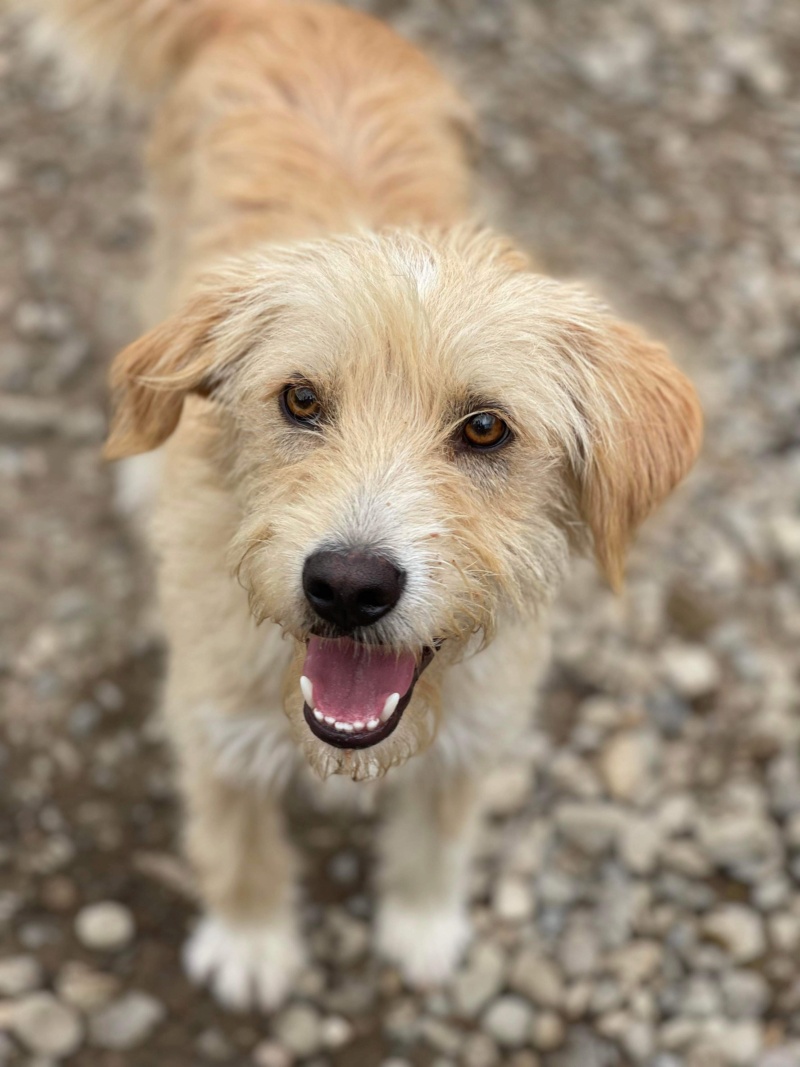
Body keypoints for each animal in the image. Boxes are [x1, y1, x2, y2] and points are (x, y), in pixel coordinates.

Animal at [21, 0, 704, 1007]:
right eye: (300, 400)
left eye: (486, 428)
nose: (346, 585)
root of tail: (289, 14)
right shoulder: (209, 710)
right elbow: (235, 835)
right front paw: (252, 939)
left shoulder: (479, 719)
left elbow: (441, 828)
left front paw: (422, 924)